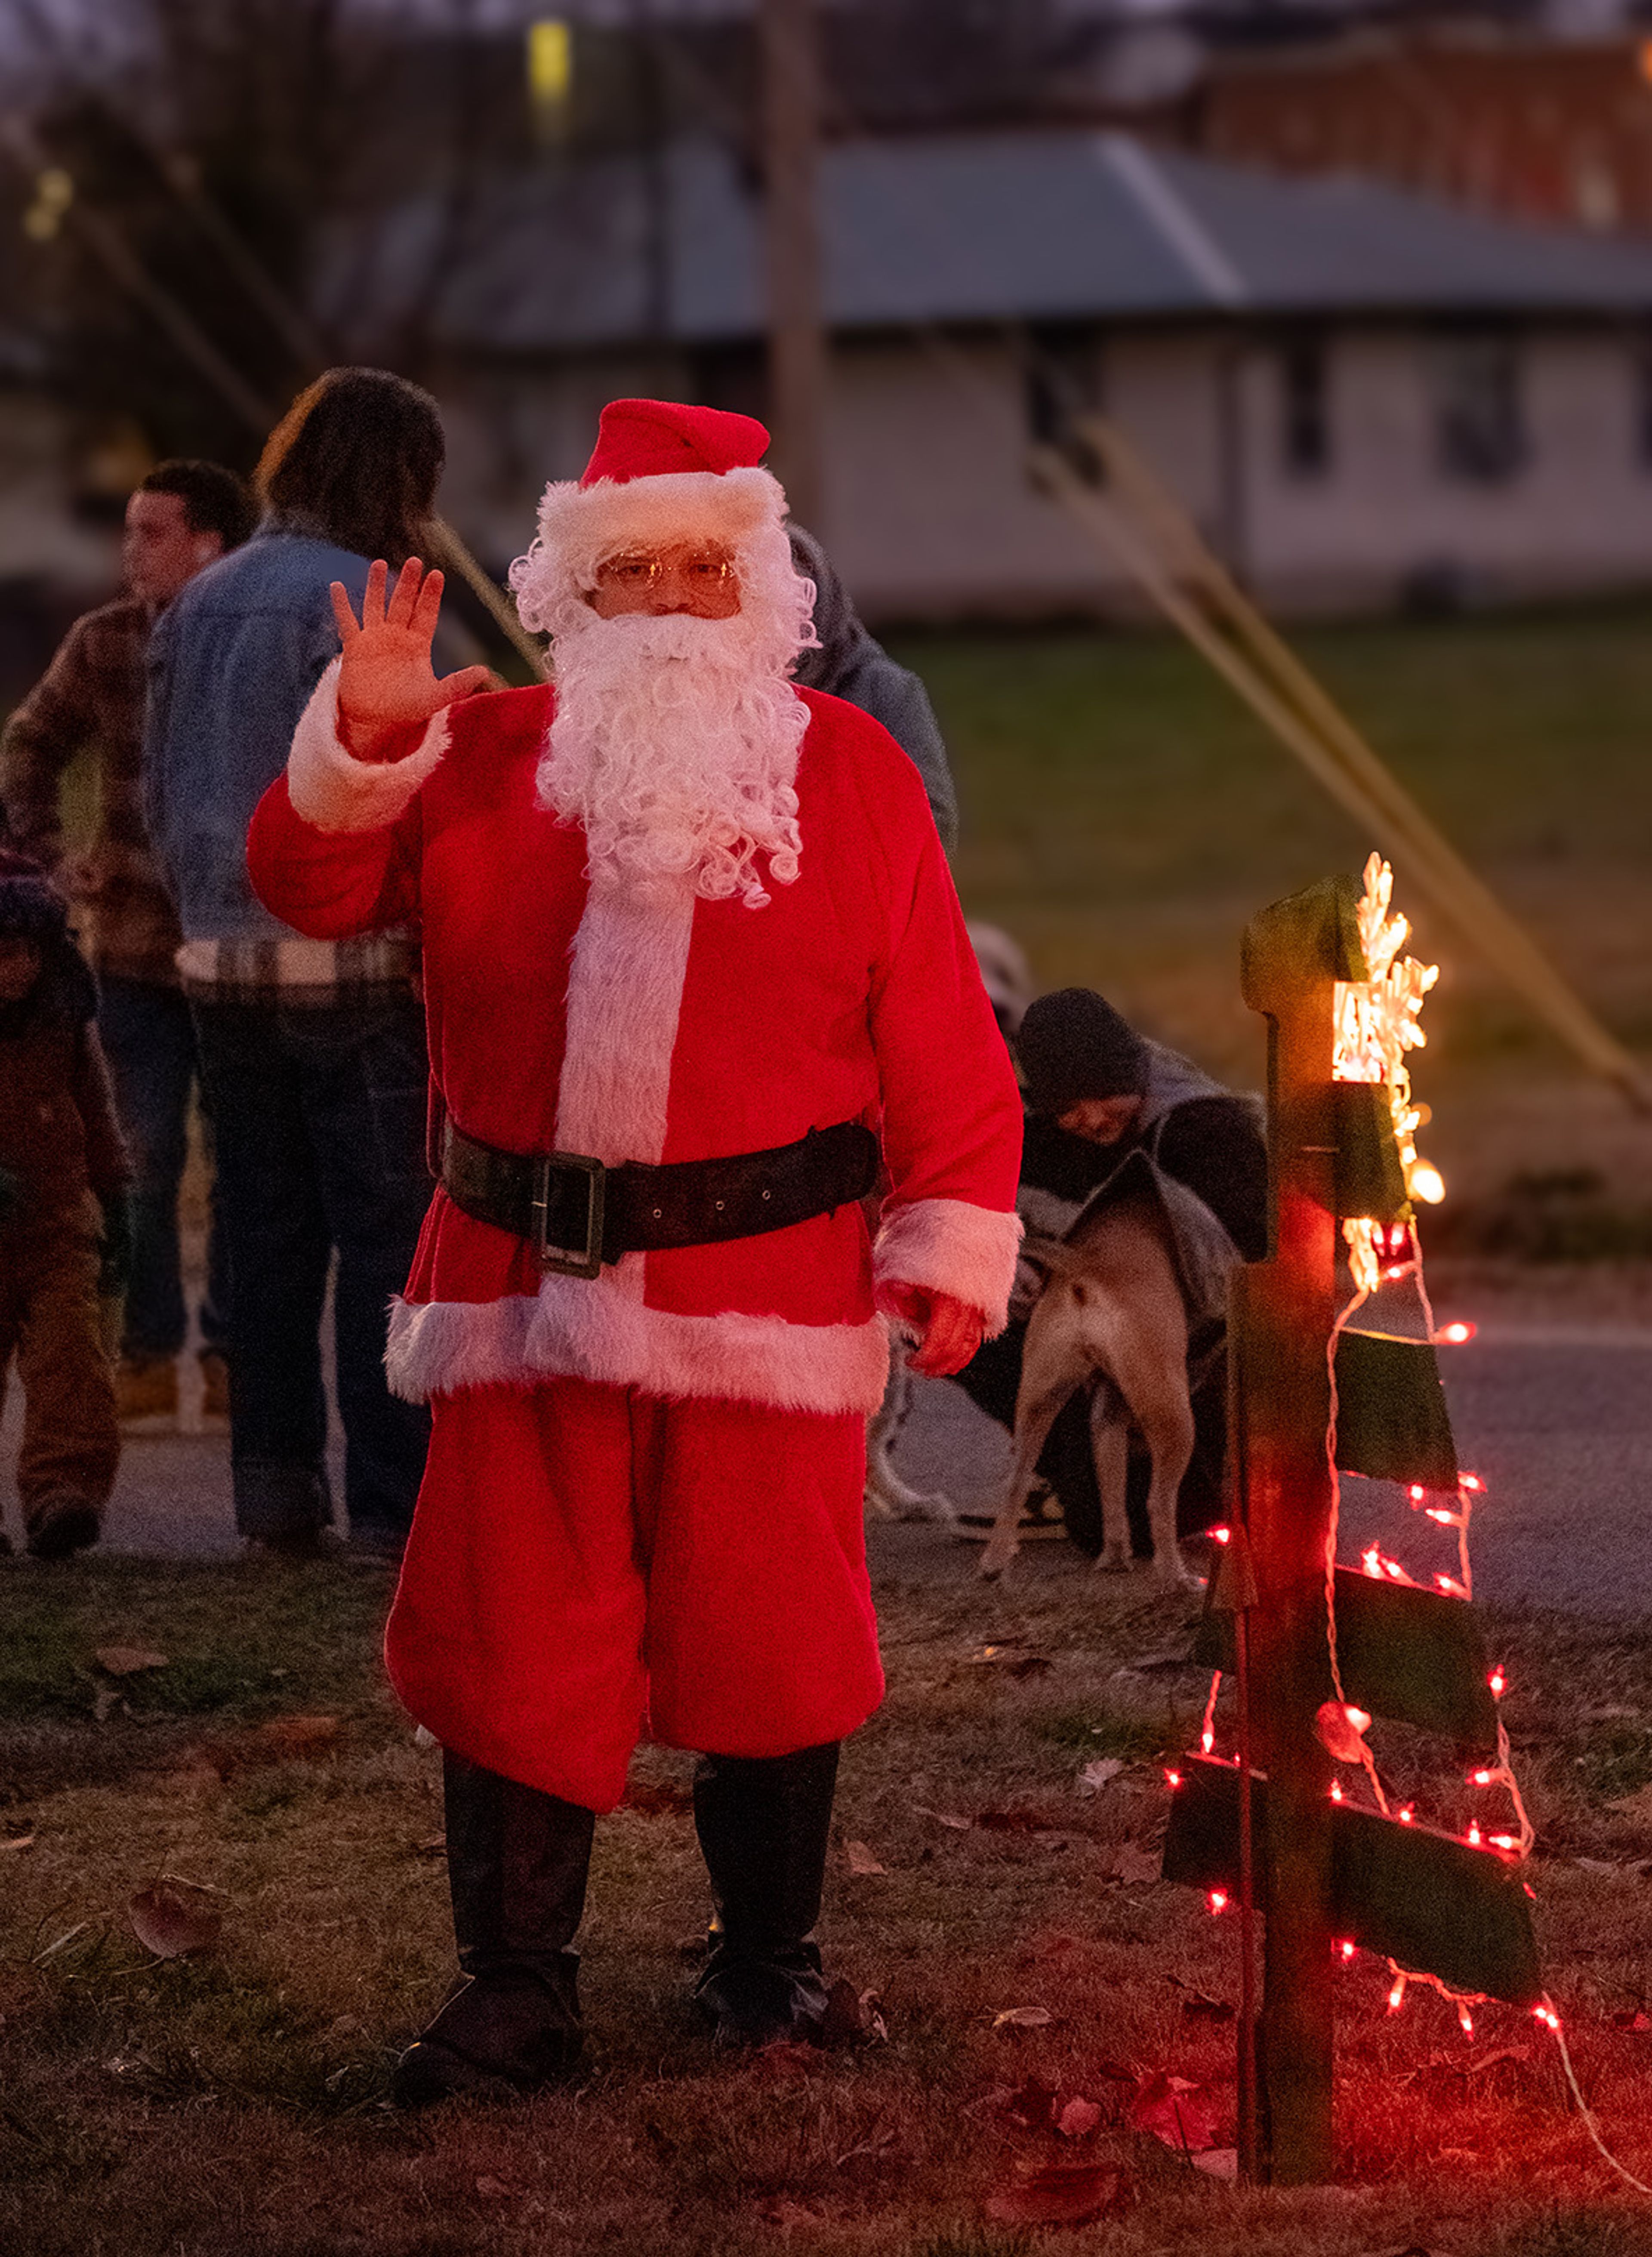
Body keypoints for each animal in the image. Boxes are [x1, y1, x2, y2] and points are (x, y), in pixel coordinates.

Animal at [979, 1182, 1200, 1589]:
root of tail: (1084, 1266)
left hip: (1039, 1399)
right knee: (1159, 1502)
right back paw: (1176, 1577)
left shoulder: (1108, 1412)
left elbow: (1111, 1489)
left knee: (1017, 1482)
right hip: (1174, 1416)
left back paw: (998, 1563)